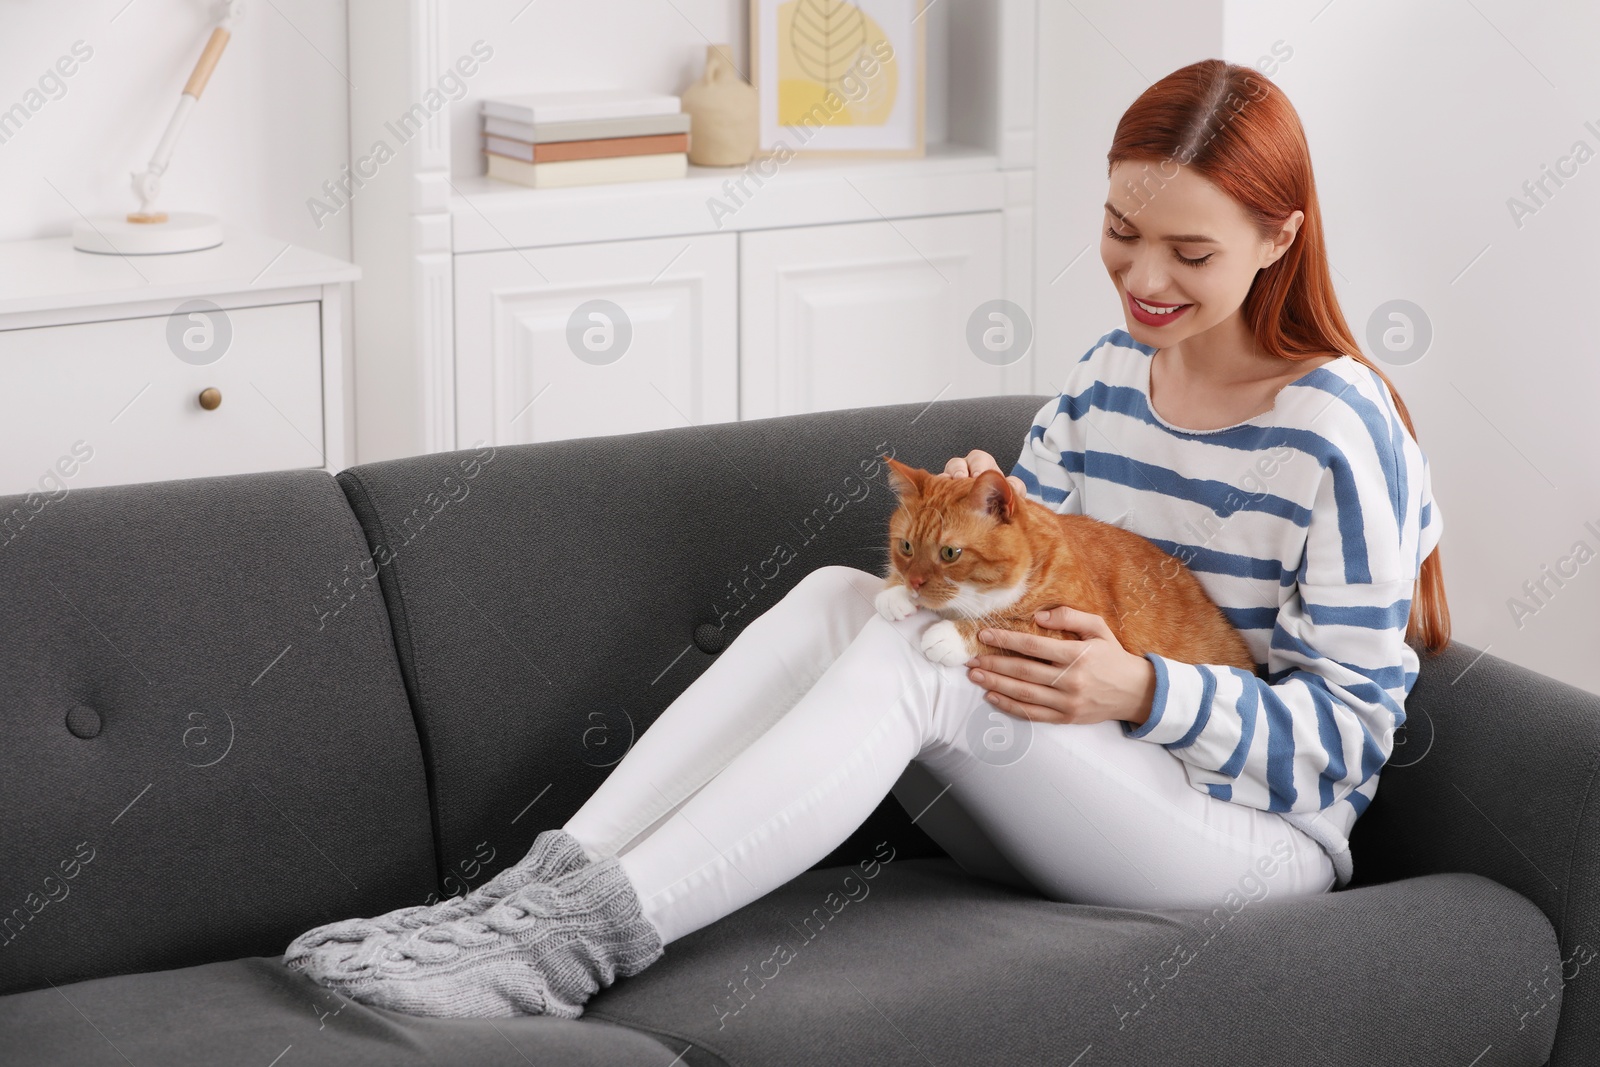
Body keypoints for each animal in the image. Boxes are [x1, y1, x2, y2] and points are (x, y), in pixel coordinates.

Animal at [876, 454, 1260, 671]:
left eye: (949, 554)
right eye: (906, 546)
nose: (915, 584)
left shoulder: (1079, 632)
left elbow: (1010, 627)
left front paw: (951, 636)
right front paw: (895, 593)